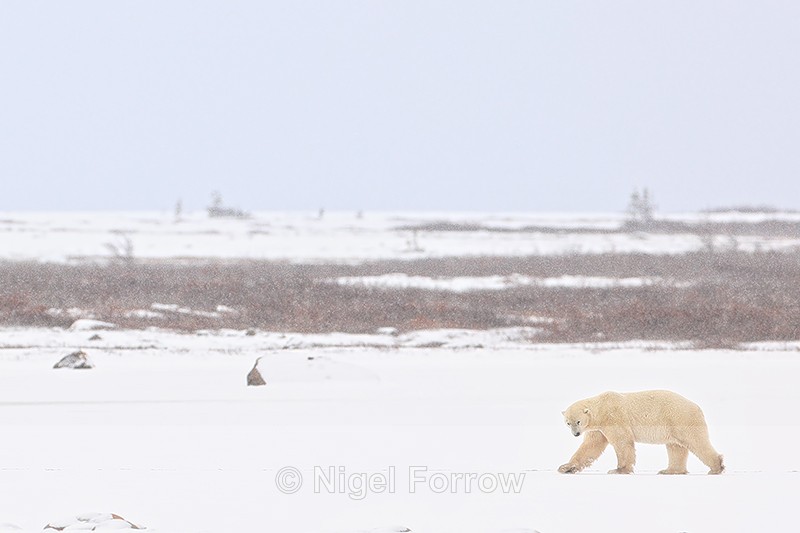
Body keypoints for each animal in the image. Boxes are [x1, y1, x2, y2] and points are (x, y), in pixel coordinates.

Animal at [559, 390, 724, 475]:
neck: (602, 407)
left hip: (680, 418)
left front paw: (619, 470)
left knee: (696, 441)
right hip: (673, 425)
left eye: (578, 421)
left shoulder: (613, 417)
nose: (575, 434)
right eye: (568, 423)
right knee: (676, 447)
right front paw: (566, 467)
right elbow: (590, 447)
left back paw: (717, 467)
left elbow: (622, 442)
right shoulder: (598, 428)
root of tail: (697, 407)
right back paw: (669, 470)